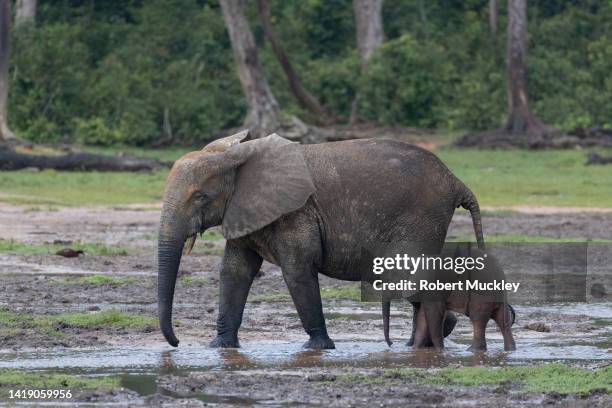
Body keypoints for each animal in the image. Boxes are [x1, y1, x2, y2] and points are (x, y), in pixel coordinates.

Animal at [158, 132, 482, 350]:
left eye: (199, 197)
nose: (176, 343)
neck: (236, 158)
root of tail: (456, 181)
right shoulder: (242, 212)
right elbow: (234, 272)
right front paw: (219, 347)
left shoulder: (294, 213)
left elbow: (297, 271)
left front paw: (317, 348)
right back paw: (419, 344)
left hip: (423, 219)